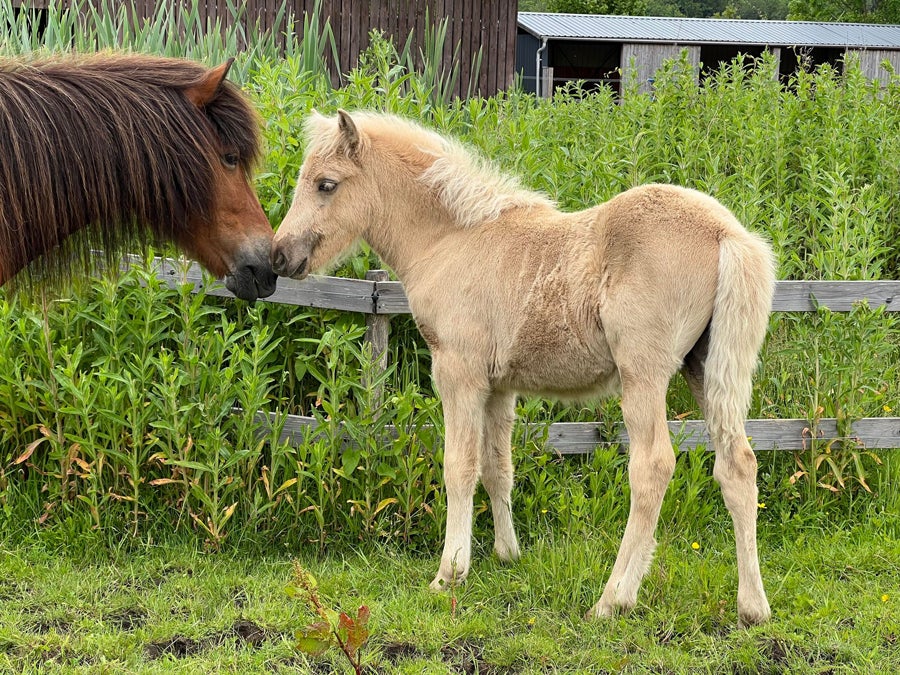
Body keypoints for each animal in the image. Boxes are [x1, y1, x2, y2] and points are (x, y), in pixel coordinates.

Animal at [270, 111, 776, 628]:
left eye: (326, 184)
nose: (278, 256)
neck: (451, 240)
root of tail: (727, 233)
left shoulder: (459, 372)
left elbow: (459, 467)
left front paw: (449, 573)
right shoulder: (499, 387)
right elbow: (498, 467)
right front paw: (506, 554)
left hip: (643, 374)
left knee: (652, 467)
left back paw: (613, 599)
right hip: (707, 369)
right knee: (738, 465)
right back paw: (752, 607)